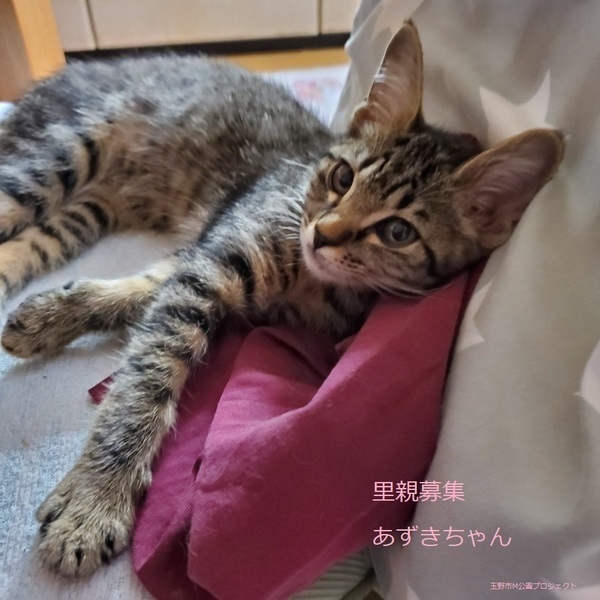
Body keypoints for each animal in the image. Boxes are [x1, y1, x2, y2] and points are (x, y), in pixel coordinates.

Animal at [0, 21, 564, 577]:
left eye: (398, 232)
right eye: (342, 177)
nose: (323, 234)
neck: (311, 282)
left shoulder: (200, 259)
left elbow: (139, 295)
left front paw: (48, 317)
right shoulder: (212, 260)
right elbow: (146, 375)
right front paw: (96, 501)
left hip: (86, 209)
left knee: (36, 240)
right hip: (55, 156)